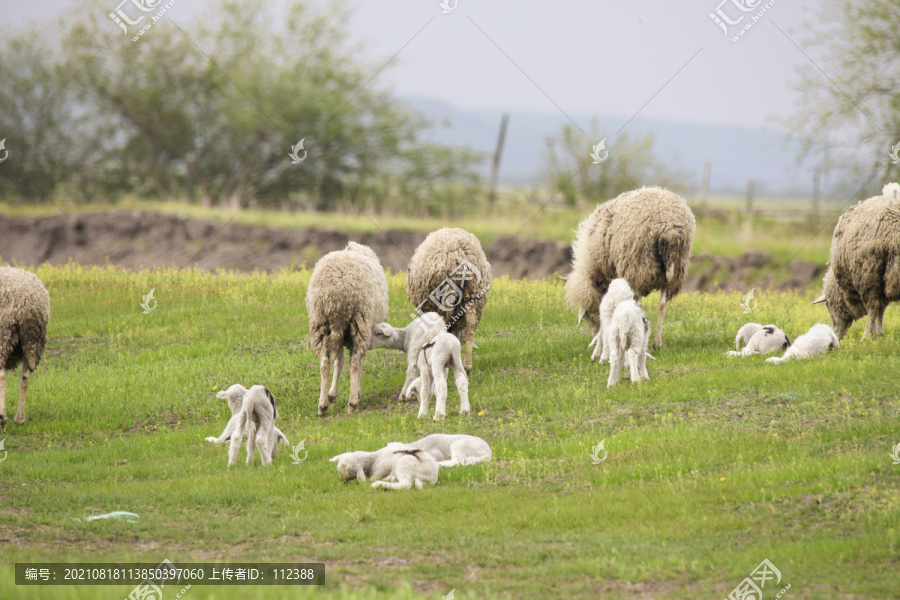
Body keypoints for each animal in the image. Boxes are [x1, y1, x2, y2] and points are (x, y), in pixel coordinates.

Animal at [0, 268, 50, 426]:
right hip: (32, 341)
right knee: (25, 378)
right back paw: (20, 418)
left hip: (4, 334)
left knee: (2, 376)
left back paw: (2, 417)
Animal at [306, 241, 386, 414]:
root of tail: (337, 292)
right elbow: (356, 361)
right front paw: (356, 390)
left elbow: (339, 361)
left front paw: (332, 394)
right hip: (359, 321)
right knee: (355, 362)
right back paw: (353, 403)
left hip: (321, 323)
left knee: (324, 363)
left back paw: (322, 406)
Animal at [564, 185, 696, 350]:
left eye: (589, 317)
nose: (596, 344)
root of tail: (669, 226)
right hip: (674, 270)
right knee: (662, 306)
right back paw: (657, 343)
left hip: (637, 266)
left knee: (639, 306)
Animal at [808, 180, 900, 340]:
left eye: (828, 305)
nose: (836, 334)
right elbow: (882, 308)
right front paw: (878, 335)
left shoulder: (869, 276)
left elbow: (875, 308)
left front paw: (869, 336)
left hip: (869, 268)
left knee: (874, 306)